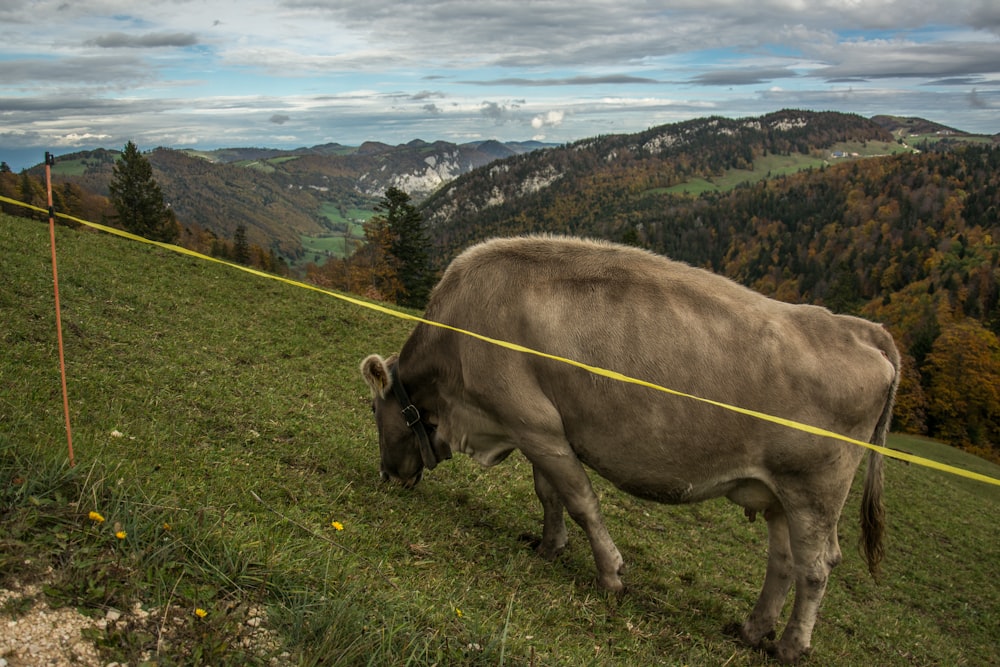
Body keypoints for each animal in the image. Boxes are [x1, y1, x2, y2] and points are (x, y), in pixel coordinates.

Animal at [360, 235, 900, 664]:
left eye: (371, 409)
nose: (386, 476)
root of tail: (859, 329)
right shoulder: (537, 429)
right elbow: (549, 493)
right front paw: (548, 547)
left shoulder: (532, 421)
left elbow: (580, 500)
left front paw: (611, 575)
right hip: (780, 495)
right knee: (783, 561)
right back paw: (751, 630)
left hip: (814, 490)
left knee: (816, 566)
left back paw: (789, 646)